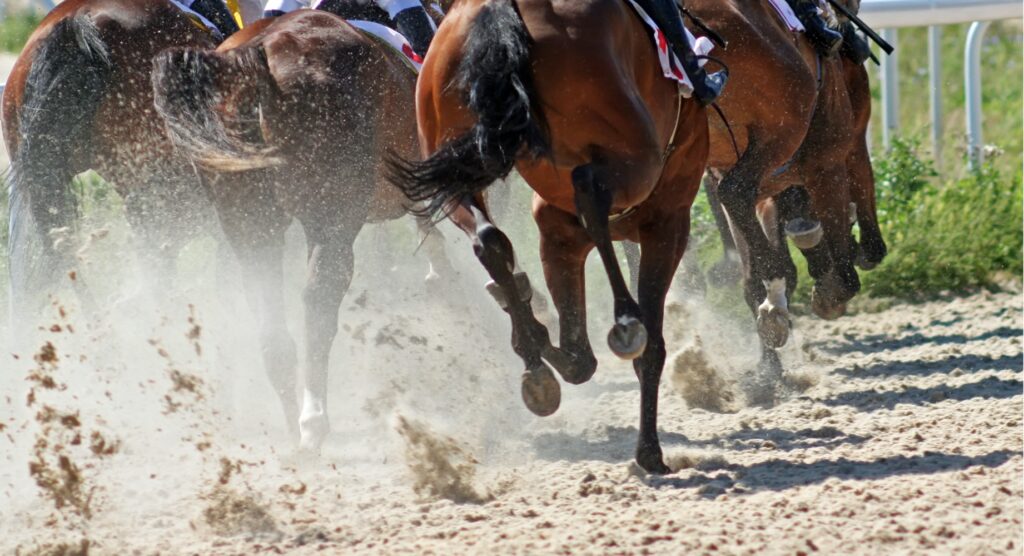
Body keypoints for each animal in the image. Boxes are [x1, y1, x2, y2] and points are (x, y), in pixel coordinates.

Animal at [150, 4, 452, 448]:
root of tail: (255, 59)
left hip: (250, 224)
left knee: (268, 311)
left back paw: (293, 425)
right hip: (332, 217)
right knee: (318, 300)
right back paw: (313, 419)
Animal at [389, 0, 712, 475]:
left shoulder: (556, 231)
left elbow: (579, 358)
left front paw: (535, 337)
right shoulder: (668, 221)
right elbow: (646, 348)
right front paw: (650, 452)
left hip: (451, 153)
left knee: (489, 237)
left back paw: (532, 349)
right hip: (636, 158)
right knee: (589, 188)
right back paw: (624, 320)